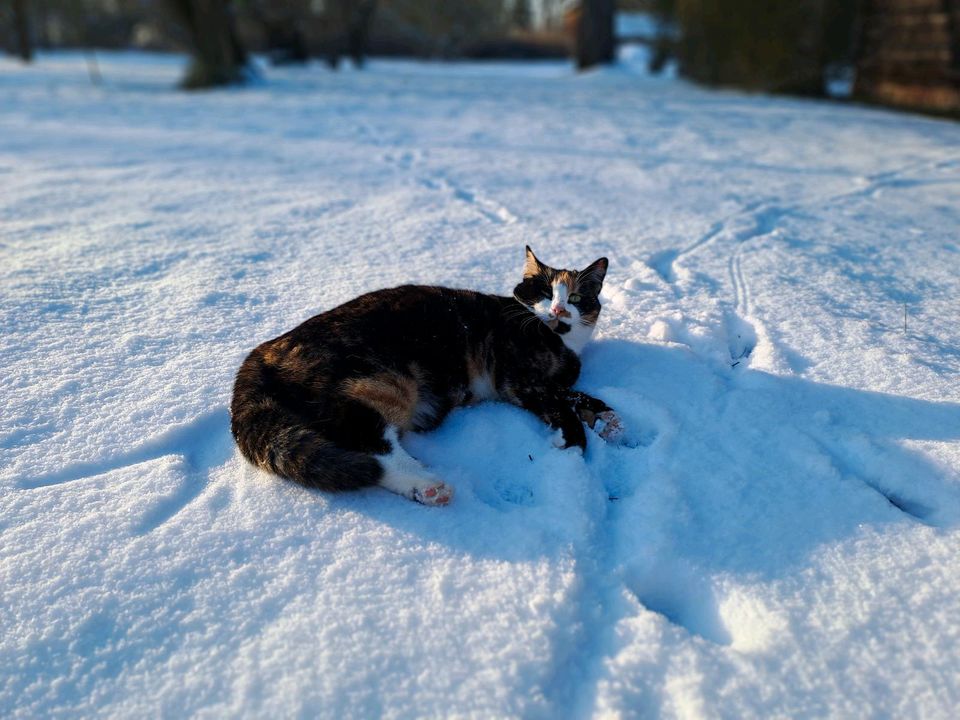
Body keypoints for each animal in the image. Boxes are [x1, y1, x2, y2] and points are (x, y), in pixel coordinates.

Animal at [230, 248, 628, 506]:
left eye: (575, 297)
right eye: (545, 292)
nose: (558, 310)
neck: (560, 339)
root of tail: (259, 355)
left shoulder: (550, 382)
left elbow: (576, 395)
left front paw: (608, 420)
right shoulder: (519, 381)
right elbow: (560, 406)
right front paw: (572, 446)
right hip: (380, 383)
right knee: (374, 448)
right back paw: (429, 485)